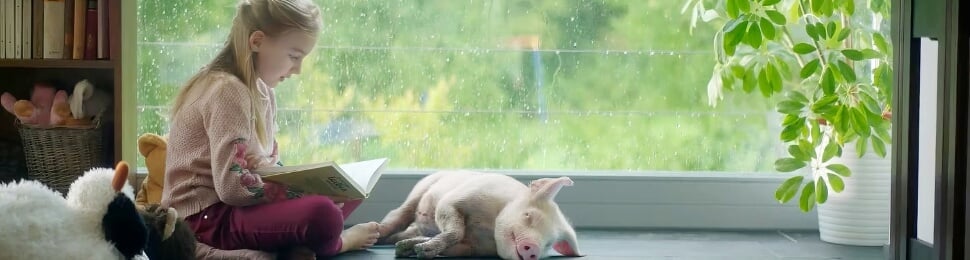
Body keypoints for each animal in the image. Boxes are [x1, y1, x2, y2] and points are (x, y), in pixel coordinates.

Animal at [374, 171, 580, 258]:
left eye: (549, 243)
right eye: (528, 215)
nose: (534, 248)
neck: (489, 226)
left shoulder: (472, 248)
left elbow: (455, 247)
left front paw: (413, 249)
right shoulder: (453, 200)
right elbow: (454, 229)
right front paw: (420, 251)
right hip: (422, 187)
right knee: (399, 213)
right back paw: (378, 235)